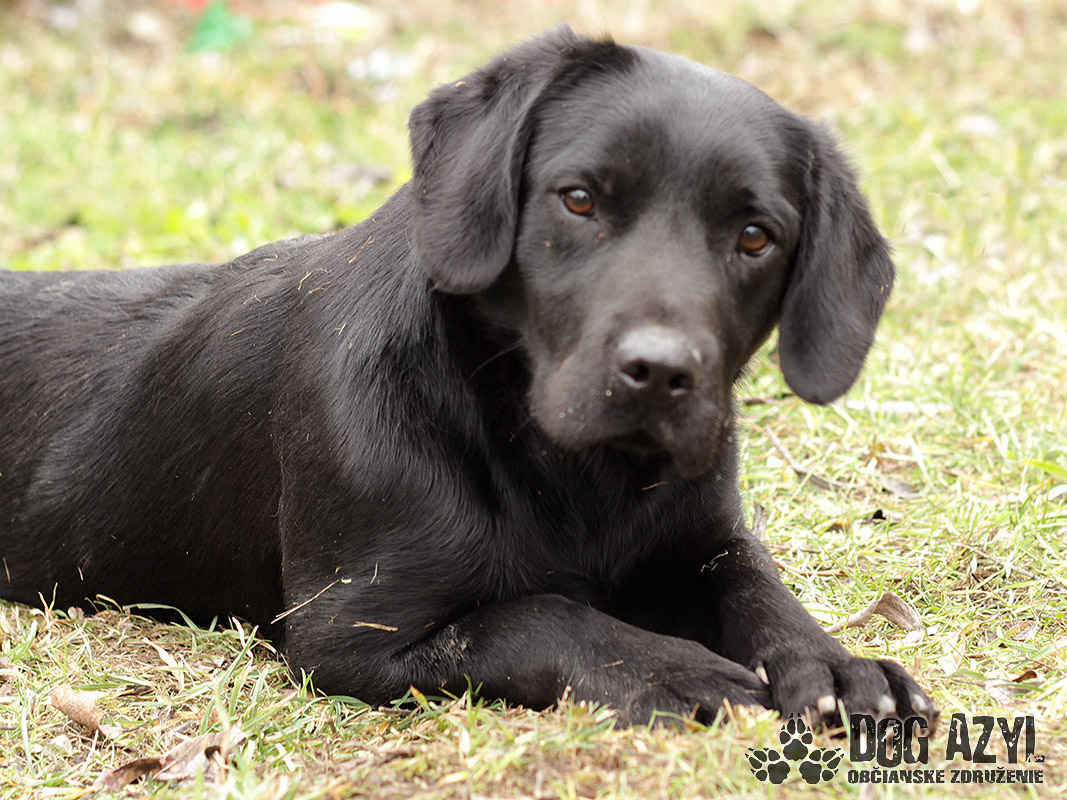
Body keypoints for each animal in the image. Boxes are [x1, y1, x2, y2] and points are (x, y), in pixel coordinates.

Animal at [0, 28, 934, 727]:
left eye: (754, 236)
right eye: (578, 199)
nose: (659, 374)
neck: (570, 477)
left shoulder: (703, 537)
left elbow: (757, 586)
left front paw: (834, 663)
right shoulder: (349, 634)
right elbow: (537, 615)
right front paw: (667, 669)